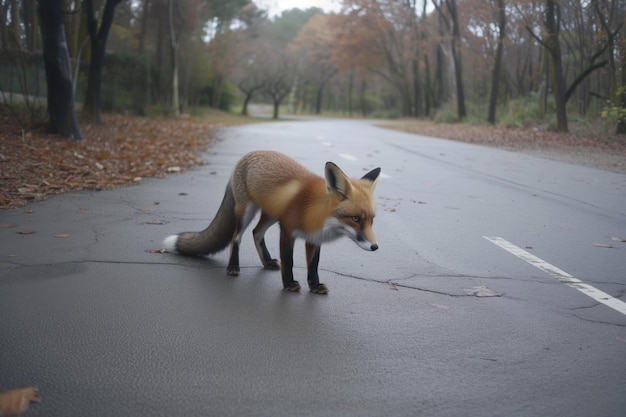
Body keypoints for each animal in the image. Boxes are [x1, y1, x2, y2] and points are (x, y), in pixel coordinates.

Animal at [162, 150, 380, 292]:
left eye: (371, 220)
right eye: (356, 219)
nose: (375, 247)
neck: (316, 213)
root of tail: (249, 155)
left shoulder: (313, 238)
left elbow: (313, 265)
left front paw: (314, 286)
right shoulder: (287, 230)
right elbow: (289, 260)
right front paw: (289, 284)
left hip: (271, 215)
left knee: (256, 233)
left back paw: (266, 262)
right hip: (246, 212)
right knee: (236, 237)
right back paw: (233, 267)